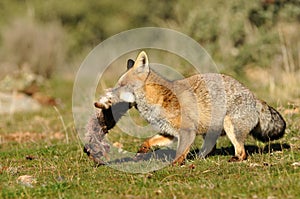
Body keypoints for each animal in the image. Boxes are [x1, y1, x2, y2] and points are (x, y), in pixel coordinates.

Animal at [95, 51, 286, 165]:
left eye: (122, 85)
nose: (108, 93)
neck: (159, 100)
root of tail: (254, 97)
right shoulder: (168, 133)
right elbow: (149, 141)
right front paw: (142, 151)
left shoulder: (187, 132)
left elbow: (179, 153)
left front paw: (173, 165)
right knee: (210, 147)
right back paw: (200, 158)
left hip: (230, 127)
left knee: (242, 152)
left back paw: (234, 159)